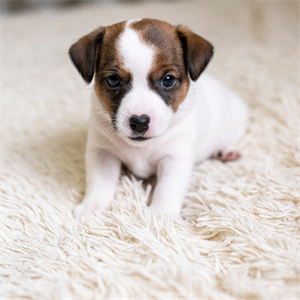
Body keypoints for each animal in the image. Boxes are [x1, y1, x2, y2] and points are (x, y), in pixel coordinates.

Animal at [69, 17, 250, 221]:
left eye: (168, 79)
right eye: (113, 80)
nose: (140, 122)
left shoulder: (174, 158)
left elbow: (168, 188)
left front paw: (161, 215)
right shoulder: (102, 152)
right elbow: (99, 182)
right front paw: (92, 206)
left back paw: (226, 151)